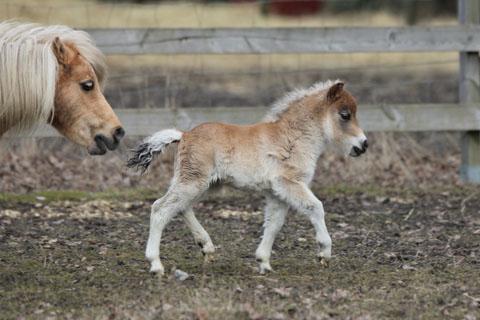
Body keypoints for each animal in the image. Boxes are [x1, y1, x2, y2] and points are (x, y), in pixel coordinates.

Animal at [127, 80, 368, 276]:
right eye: (345, 115)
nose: (363, 145)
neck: (293, 138)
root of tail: (184, 135)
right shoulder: (288, 182)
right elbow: (316, 207)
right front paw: (324, 254)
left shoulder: (276, 192)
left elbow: (274, 223)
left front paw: (264, 263)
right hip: (193, 181)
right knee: (160, 208)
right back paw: (156, 265)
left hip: (202, 183)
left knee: (181, 207)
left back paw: (206, 247)